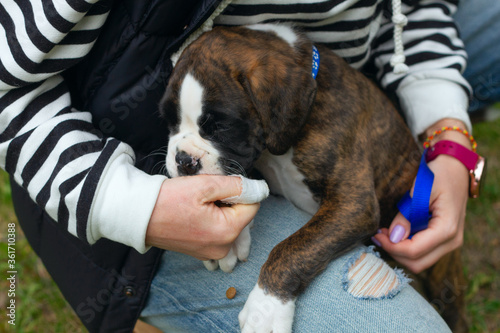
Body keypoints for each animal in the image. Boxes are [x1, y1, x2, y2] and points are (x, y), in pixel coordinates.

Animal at [160, 24, 464, 332]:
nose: (183, 160)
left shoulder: (354, 205)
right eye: (169, 122)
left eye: (220, 125)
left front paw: (266, 306)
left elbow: (294, 248)